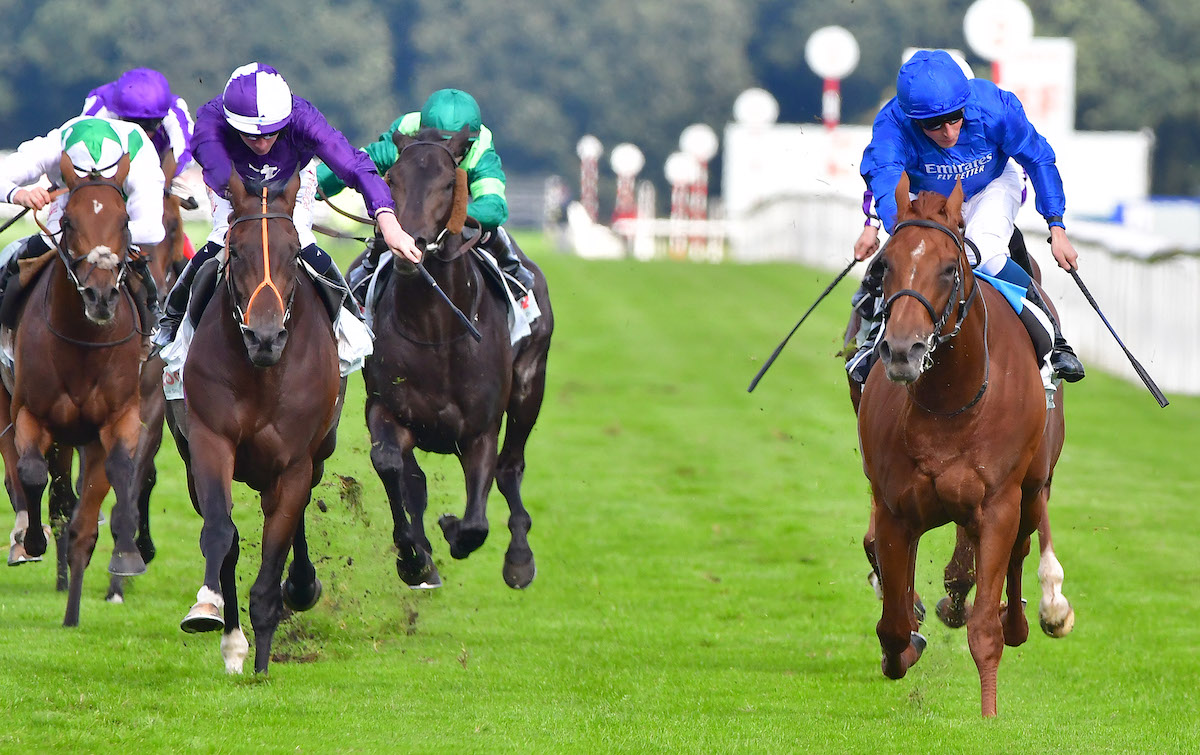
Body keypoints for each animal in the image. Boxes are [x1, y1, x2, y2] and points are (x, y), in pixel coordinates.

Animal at [1, 153, 150, 624]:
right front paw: (33, 539)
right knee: (19, 471)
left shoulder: (120, 417)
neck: (83, 343)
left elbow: (119, 471)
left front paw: (126, 556)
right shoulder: (30, 413)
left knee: (79, 513)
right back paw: (26, 536)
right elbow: (31, 472)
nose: (100, 296)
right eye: (67, 220)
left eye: (124, 220)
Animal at [165, 169, 343, 672]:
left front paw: (263, 661)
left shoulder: (296, 462)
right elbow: (221, 532)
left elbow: (277, 545)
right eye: (237, 251)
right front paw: (213, 617)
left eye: (295, 252)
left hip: (316, 455)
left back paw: (299, 586)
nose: (265, 336)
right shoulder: (209, 442)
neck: (263, 373)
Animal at [364, 126, 552, 588]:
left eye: (450, 183)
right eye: (390, 179)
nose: (408, 246)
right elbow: (392, 467)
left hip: (529, 387)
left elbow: (476, 523)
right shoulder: (386, 409)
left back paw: (519, 558)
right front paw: (413, 556)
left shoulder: (480, 430)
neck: (436, 330)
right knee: (413, 479)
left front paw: (453, 529)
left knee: (510, 466)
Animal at [859, 174, 1075, 715]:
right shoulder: (895, 508)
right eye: (884, 266)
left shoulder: (999, 503)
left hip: (1033, 485)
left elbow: (985, 632)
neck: (951, 401)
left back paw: (1033, 614)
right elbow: (893, 622)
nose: (902, 350)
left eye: (947, 269)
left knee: (1022, 548)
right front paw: (905, 648)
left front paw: (989, 716)